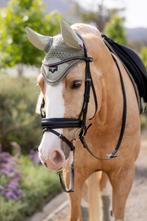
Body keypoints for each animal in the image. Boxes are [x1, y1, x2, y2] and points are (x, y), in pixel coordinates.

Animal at [25, 19, 141, 220]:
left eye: (76, 83)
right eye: (40, 84)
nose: (49, 155)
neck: (103, 122)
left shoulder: (124, 176)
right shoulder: (73, 175)